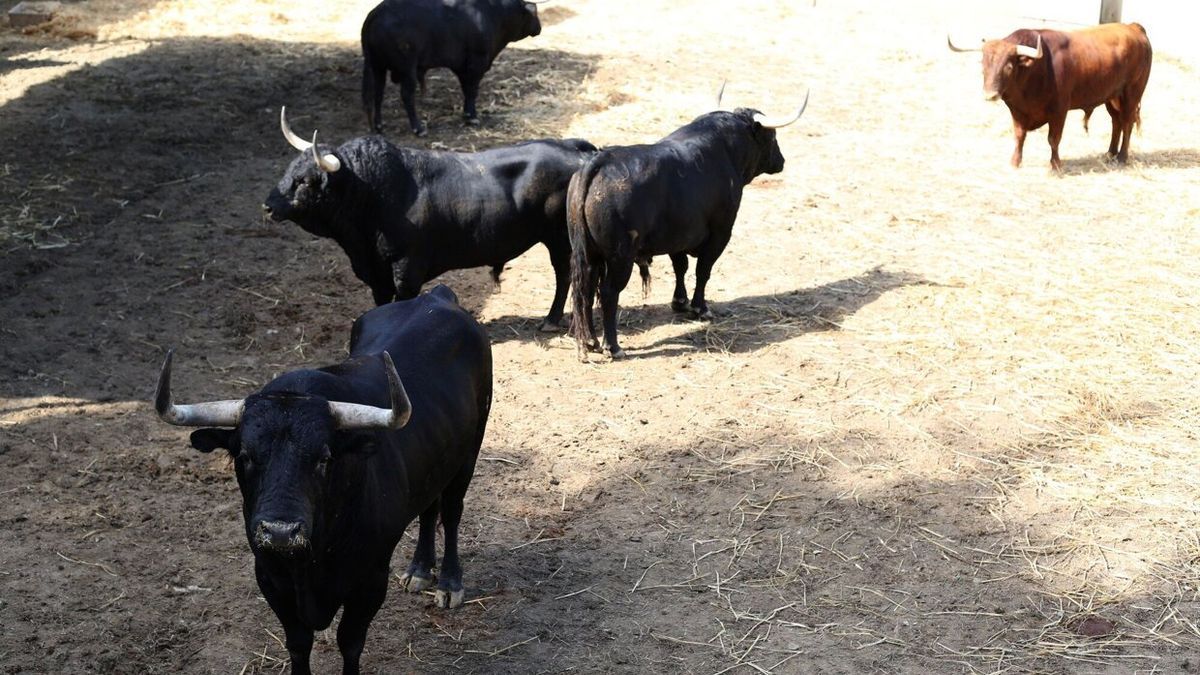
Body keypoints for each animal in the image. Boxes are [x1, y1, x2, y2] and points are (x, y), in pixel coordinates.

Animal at [154, 283, 492, 672]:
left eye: (325, 458)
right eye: (245, 455)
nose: (280, 532)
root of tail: (437, 296)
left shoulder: (369, 582)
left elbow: (351, 642)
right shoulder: (270, 578)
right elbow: (299, 643)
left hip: (470, 451)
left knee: (451, 512)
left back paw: (449, 583)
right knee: (428, 508)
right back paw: (420, 570)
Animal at [566, 87, 811, 360]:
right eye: (772, 136)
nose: (781, 161)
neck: (726, 151)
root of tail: (598, 162)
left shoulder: (678, 235)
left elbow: (680, 266)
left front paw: (680, 302)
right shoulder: (721, 231)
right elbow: (703, 269)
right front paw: (700, 307)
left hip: (588, 253)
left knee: (585, 290)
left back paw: (590, 341)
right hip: (620, 257)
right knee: (608, 293)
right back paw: (613, 346)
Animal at [945, 23, 1152, 170]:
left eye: (1009, 66)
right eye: (983, 65)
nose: (990, 95)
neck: (1035, 69)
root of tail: (1133, 27)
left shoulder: (1059, 110)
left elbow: (1053, 139)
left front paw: (1055, 166)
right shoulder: (1018, 110)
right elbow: (1019, 136)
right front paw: (1015, 162)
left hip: (1132, 93)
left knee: (1127, 123)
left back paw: (1122, 157)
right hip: (1112, 97)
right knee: (1116, 122)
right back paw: (1110, 153)